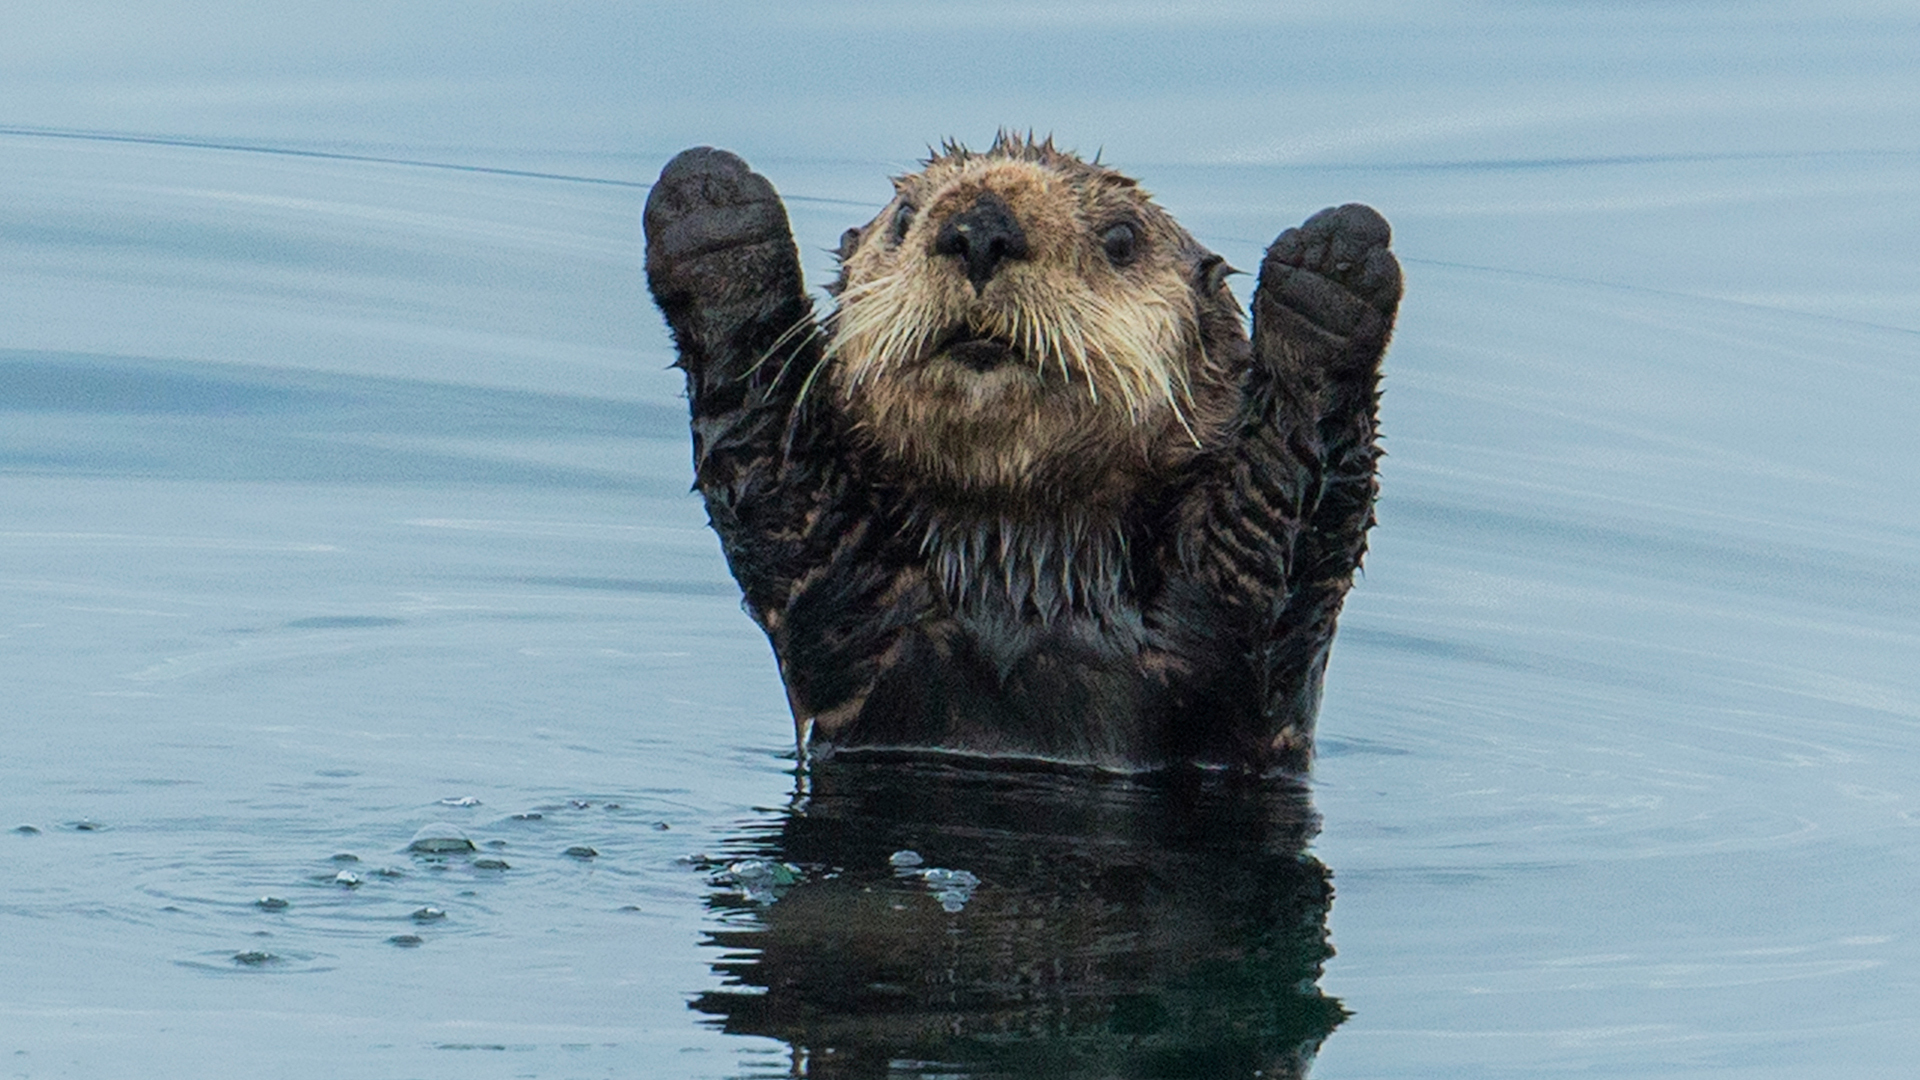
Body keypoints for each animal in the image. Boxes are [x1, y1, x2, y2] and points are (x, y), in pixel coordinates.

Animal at [641, 134, 1397, 768]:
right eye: (903, 217)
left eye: (1121, 238)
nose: (980, 229)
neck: (1023, 574)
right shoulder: (841, 600)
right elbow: (770, 463)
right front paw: (712, 206)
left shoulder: (1242, 636)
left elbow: (1283, 514)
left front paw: (1333, 268)